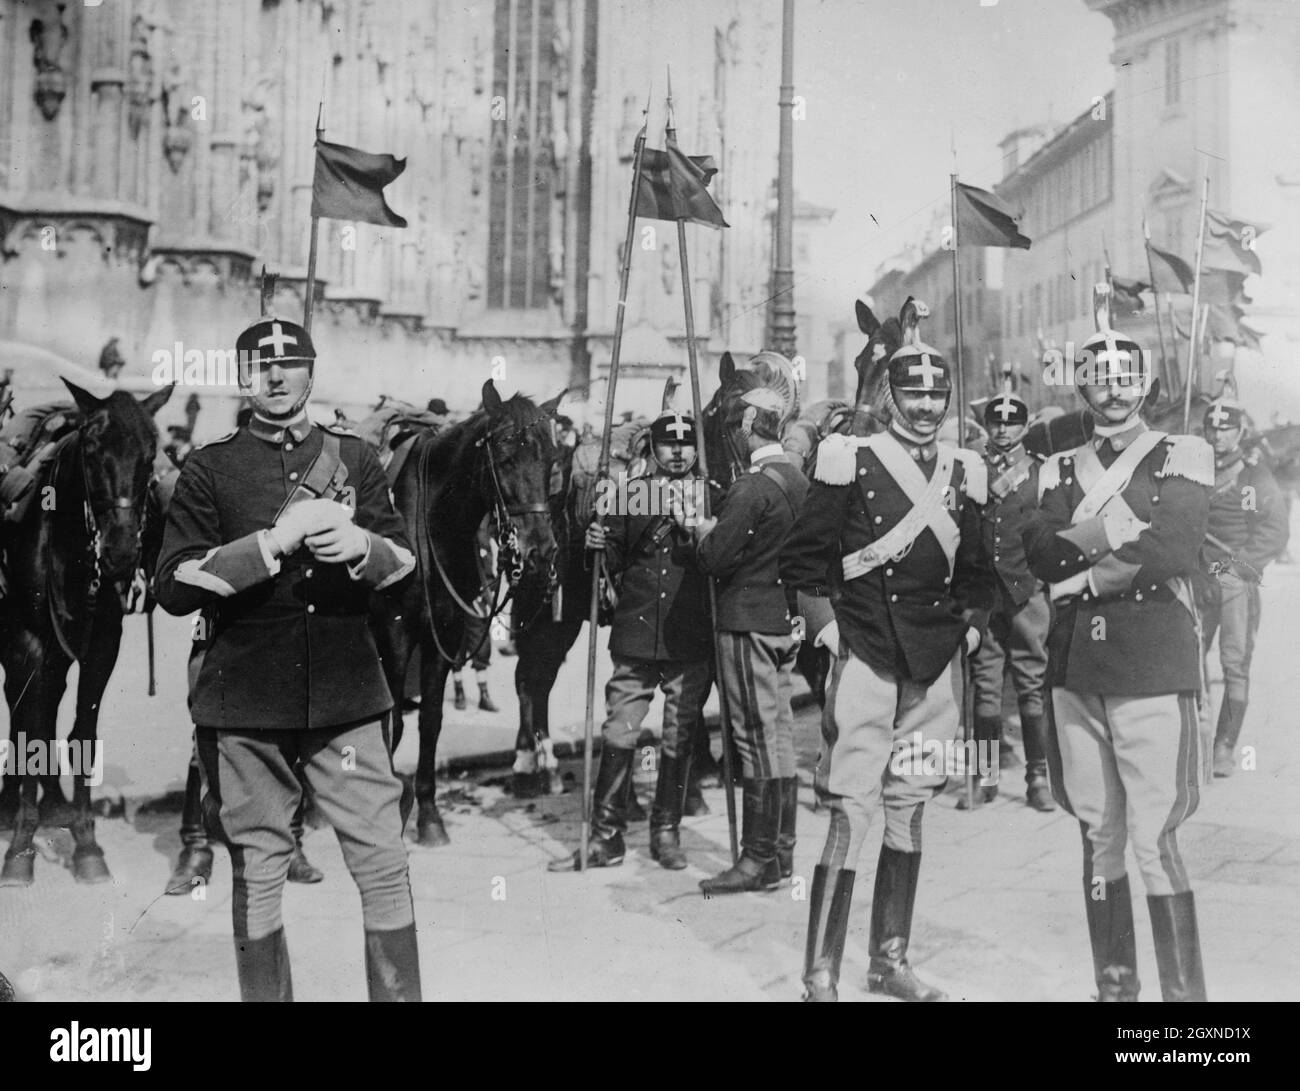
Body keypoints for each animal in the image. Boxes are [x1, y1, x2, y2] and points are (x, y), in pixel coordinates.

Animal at [0, 379, 172, 884]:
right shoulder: (27, 640)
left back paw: (50, 802)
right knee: (21, 708)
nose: (120, 552)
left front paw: (87, 845)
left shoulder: (101, 645)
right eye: (93, 452)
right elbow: (32, 730)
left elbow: (81, 734)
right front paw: (20, 849)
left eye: (150, 455)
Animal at [374, 379, 561, 847]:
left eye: (552, 461)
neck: (427, 523)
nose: (540, 552)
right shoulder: (396, 635)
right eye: (506, 458)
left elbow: (430, 721)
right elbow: (393, 723)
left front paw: (427, 814)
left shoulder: (444, 633)